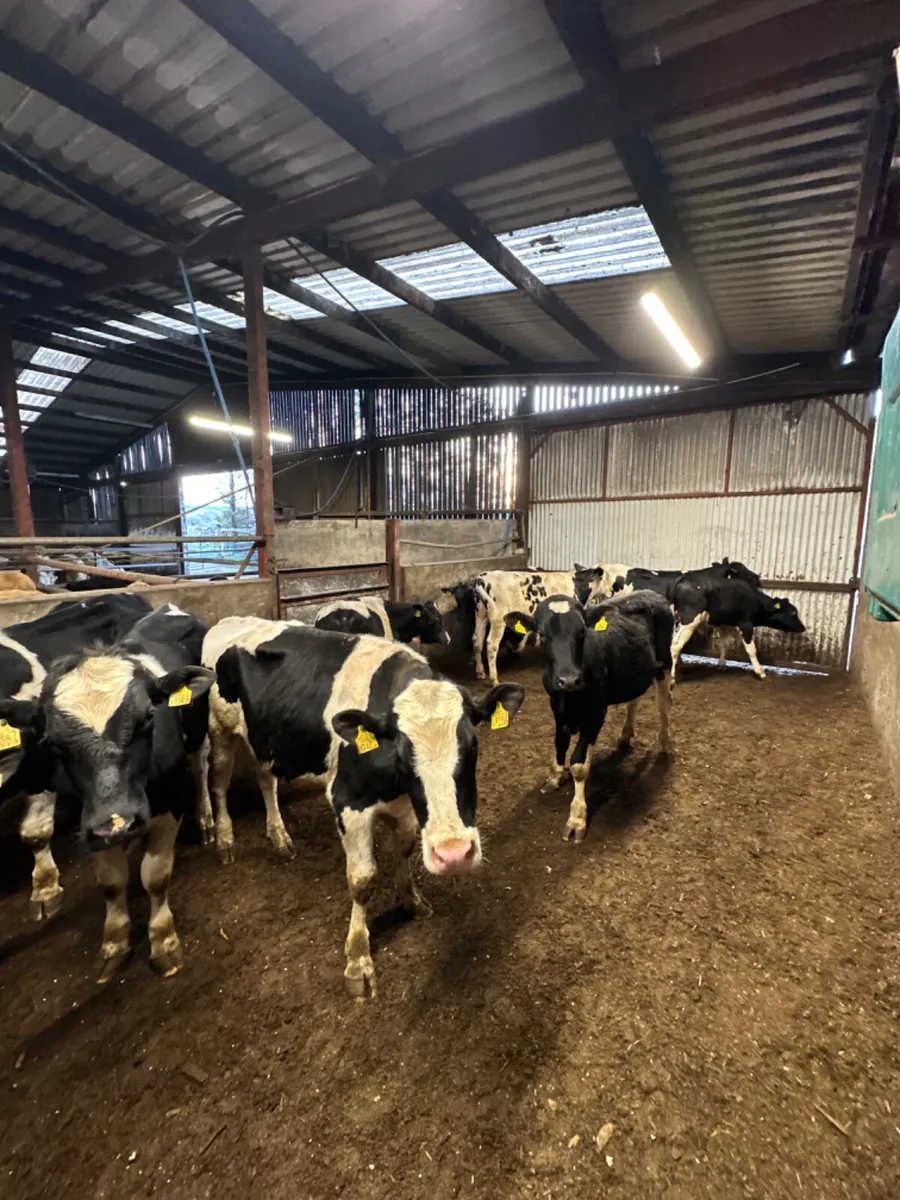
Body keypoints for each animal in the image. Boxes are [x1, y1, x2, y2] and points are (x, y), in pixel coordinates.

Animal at [209, 620, 524, 996]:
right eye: (401, 752)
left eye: (473, 744)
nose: (454, 854)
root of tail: (229, 622)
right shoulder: (348, 802)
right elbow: (362, 880)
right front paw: (358, 960)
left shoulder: (406, 808)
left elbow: (404, 849)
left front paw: (411, 901)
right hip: (219, 729)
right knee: (219, 781)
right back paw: (224, 839)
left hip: (267, 741)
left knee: (265, 778)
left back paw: (279, 836)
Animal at [506, 591, 674, 844]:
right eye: (543, 635)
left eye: (582, 632)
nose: (568, 680)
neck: (569, 697)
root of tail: (652, 593)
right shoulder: (556, 707)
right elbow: (559, 744)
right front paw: (555, 776)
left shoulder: (596, 715)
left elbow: (579, 765)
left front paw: (577, 818)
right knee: (634, 700)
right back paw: (626, 734)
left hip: (664, 663)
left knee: (664, 705)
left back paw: (663, 743)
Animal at [670, 575, 805, 679]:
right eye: (793, 613)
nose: (803, 628)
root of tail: (683, 578)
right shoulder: (746, 624)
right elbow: (751, 649)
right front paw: (760, 671)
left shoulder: (725, 624)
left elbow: (724, 644)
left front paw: (721, 664)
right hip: (690, 620)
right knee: (675, 646)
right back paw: (672, 676)